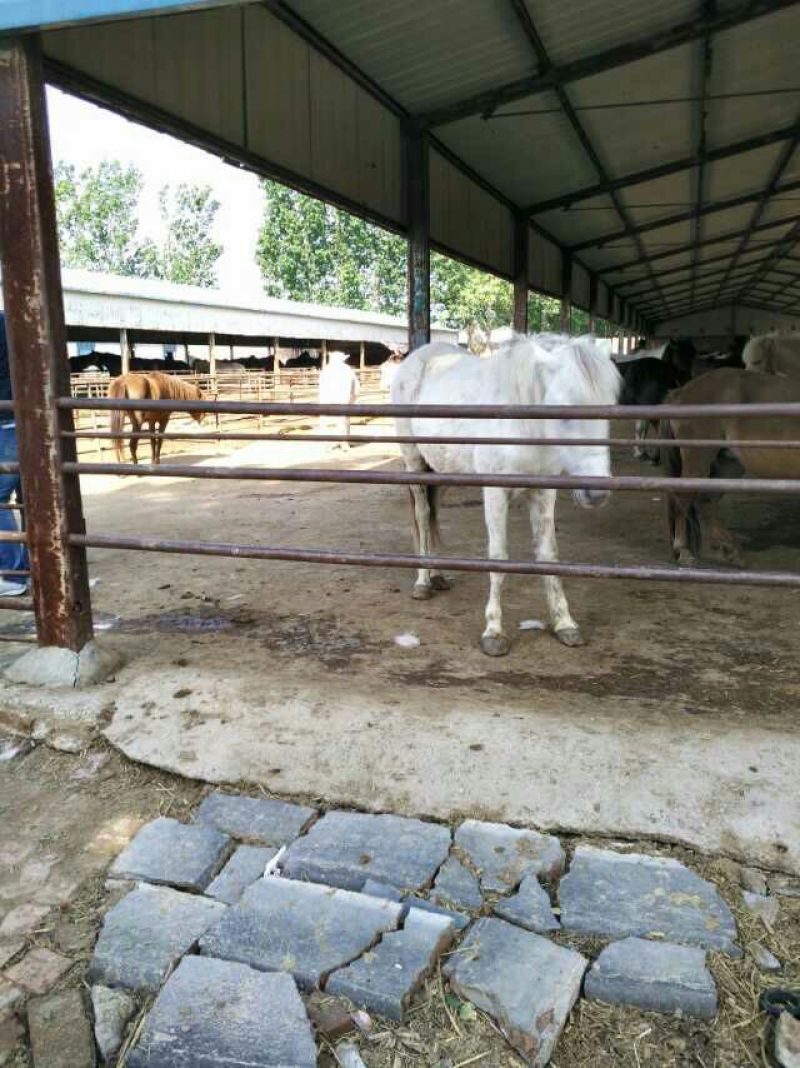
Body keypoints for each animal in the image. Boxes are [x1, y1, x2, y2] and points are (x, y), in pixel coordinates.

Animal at [391, 334, 621, 654]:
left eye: (609, 407)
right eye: (563, 409)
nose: (597, 494)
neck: (524, 424)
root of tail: (419, 356)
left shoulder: (544, 493)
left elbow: (549, 555)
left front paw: (564, 624)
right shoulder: (495, 493)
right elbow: (498, 557)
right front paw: (493, 632)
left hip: (441, 470)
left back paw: (437, 576)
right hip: (414, 464)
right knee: (423, 517)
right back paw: (423, 581)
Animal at [664, 368, 800, 567]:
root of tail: (681, 392)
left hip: (728, 466)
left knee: (705, 503)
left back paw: (730, 550)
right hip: (698, 461)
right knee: (684, 499)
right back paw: (684, 551)